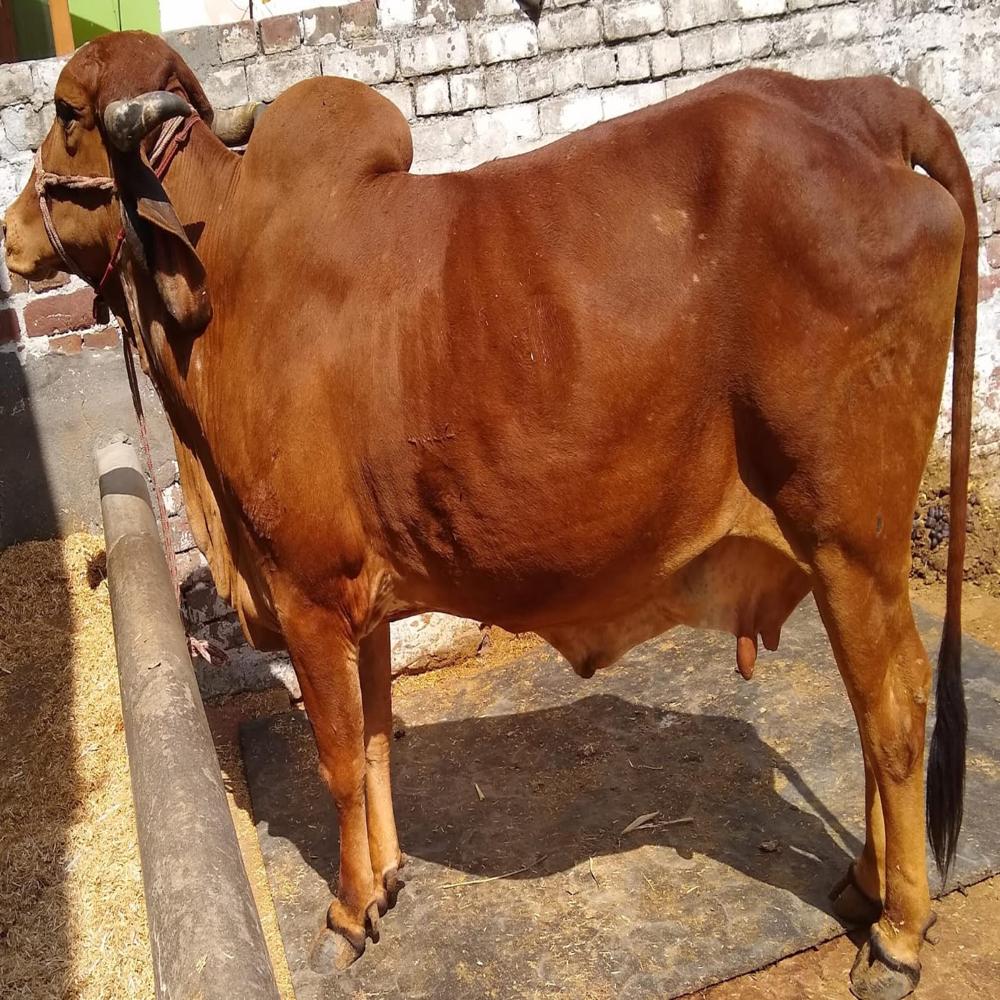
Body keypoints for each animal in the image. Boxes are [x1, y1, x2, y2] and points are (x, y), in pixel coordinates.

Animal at [3, 31, 977, 1000]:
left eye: (66, 114)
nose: (12, 234)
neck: (227, 280)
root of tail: (860, 104)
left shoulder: (308, 593)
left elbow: (338, 762)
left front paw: (348, 914)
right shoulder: (364, 599)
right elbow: (378, 739)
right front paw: (388, 879)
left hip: (851, 536)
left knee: (894, 706)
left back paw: (898, 933)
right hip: (841, 550)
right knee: (869, 709)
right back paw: (865, 886)